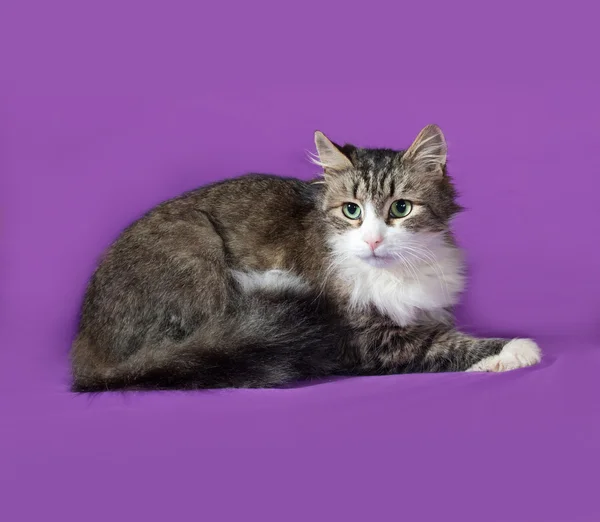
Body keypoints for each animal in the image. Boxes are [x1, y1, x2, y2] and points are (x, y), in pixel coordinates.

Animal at [72, 124, 540, 388]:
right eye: (351, 211)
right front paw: (516, 349)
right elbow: (440, 343)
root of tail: (87, 347)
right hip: (196, 250)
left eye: (401, 208)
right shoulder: (360, 337)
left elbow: (441, 329)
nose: (373, 241)